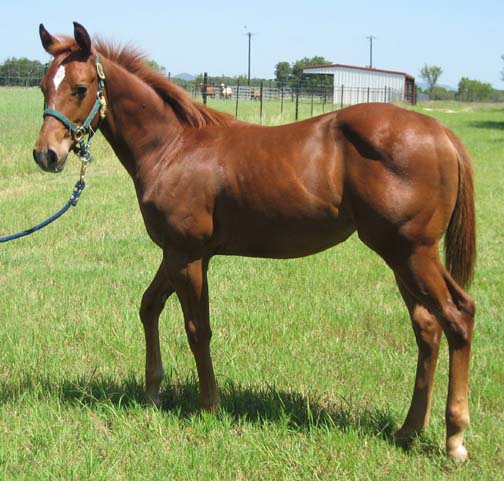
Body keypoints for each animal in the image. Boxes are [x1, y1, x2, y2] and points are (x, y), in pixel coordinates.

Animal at [33, 23, 474, 462]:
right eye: (43, 86)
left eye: (80, 87)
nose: (46, 155)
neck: (172, 149)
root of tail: (442, 134)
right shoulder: (176, 253)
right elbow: (149, 307)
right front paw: (153, 392)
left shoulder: (188, 255)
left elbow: (197, 328)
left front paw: (209, 405)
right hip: (401, 258)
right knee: (427, 327)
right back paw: (409, 430)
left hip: (411, 253)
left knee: (458, 316)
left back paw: (454, 438)